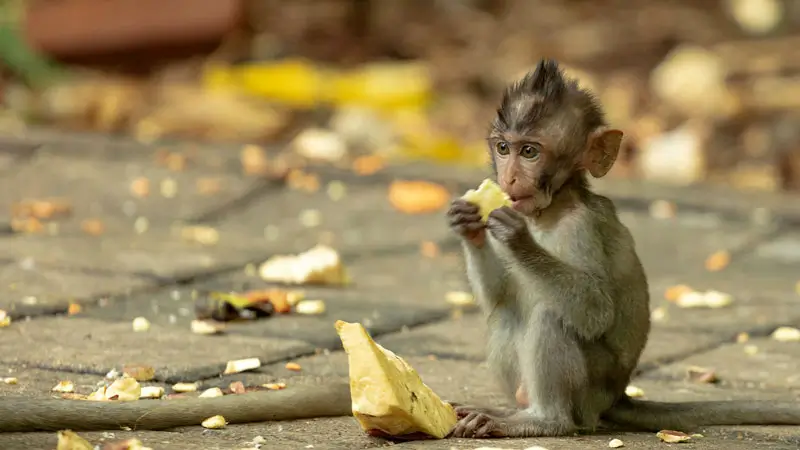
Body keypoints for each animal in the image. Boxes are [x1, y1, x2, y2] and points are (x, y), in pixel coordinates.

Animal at [446, 59, 800, 436]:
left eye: (529, 152)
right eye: (503, 148)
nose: (508, 178)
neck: (549, 211)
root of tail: (617, 396)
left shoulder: (580, 228)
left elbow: (596, 310)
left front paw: (517, 239)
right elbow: (498, 296)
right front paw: (467, 224)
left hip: (590, 393)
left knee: (550, 316)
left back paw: (543, 420)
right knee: (507, 312)